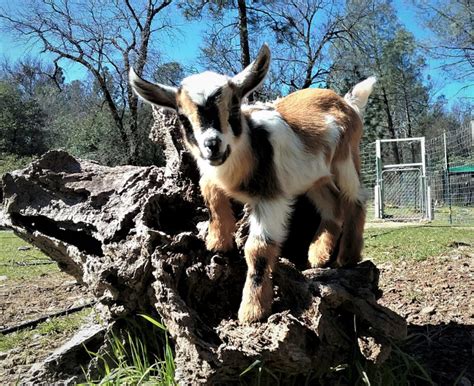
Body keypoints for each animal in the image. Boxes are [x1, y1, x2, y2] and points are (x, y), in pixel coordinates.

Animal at [129, 43, 374, 324]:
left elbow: (258, 249)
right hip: (314, 177)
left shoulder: (270, 197)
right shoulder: (212, 174)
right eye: (182, 117)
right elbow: (209, 190)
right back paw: (318, 255)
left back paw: (347, 257)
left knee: (355, 198)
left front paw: (252, 310)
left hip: (345, 159)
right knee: (332, 204)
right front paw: (217, 240)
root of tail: (348, 103)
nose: (212, 145)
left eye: (234, 108)